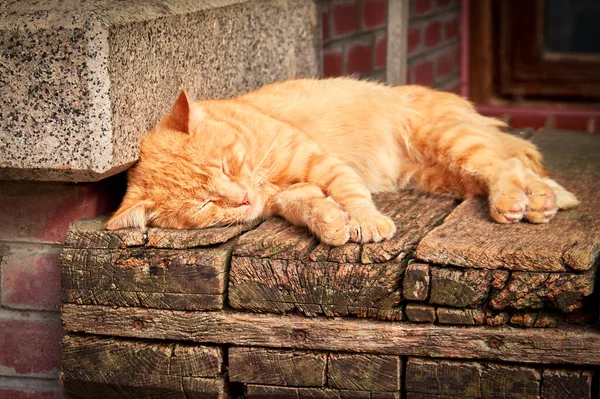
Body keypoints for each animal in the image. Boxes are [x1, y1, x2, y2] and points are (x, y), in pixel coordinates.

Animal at [105, 78, 580, 247]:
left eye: (224, 166)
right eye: (205, 204)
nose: (240, 200)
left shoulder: (322, 163)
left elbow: (352, 194)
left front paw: (366, 223)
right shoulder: (291, 195)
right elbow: (312, 207)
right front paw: (331, 224)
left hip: (448, 141)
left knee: (504, 165)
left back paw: (526, 200)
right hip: (440, 174)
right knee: (508, 169)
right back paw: (542, 199)